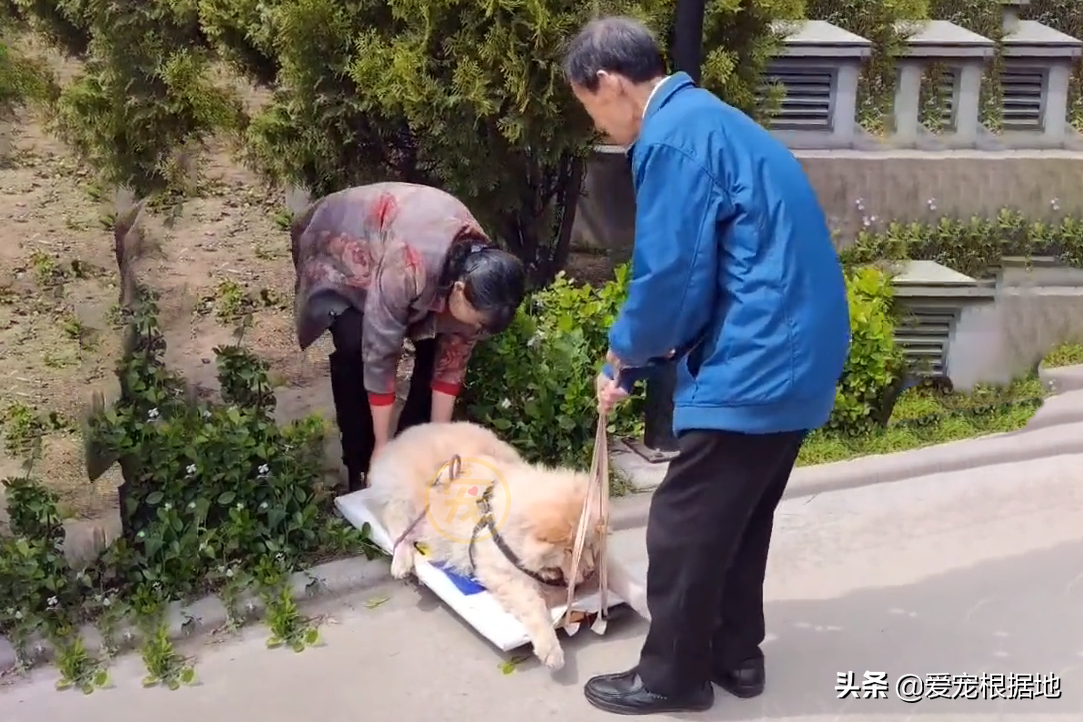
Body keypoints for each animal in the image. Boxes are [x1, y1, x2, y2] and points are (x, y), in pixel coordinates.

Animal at [370, 419, 610, 671]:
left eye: (590, 546)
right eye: (569, 550)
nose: (589, 572)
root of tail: (405, 436)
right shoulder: (505, 575)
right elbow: (534, 608)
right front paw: (551, 652)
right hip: (405, 501)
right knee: (398, 528)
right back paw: (401, 564)